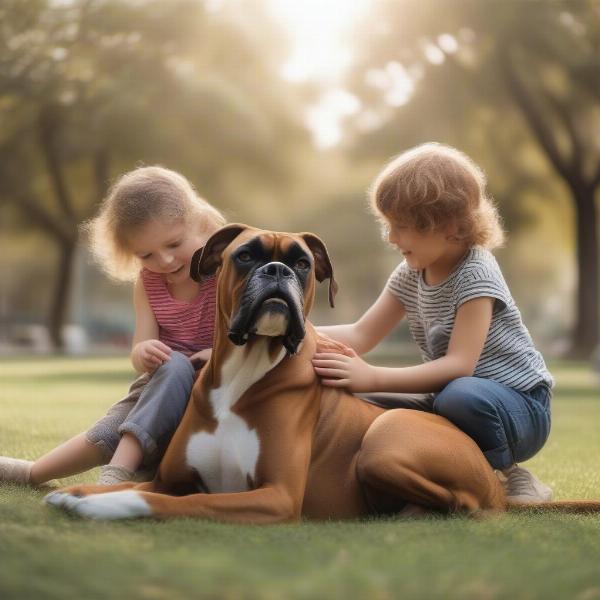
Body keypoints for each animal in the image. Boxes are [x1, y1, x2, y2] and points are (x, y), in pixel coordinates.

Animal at [44, 225, 600, 520]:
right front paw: (77, 491)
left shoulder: (274, 497)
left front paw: (98, 506)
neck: (248, 368)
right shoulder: (172, 478)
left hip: (385, 440)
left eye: (303, 263)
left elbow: (166, 502)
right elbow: (138, 486)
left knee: (468, 505)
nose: (277, 271)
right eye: (245, 256)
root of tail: (495, 480)